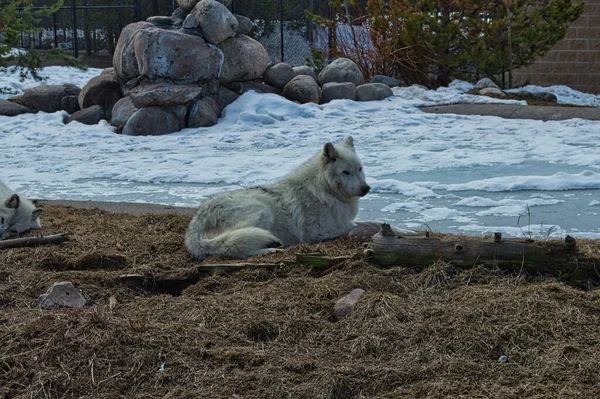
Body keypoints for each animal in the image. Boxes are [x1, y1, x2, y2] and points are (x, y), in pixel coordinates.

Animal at [183, 137, 370, 262]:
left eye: (360, 169)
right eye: (346, 172)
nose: (366, 188)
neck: (324, 190)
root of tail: (193, 230)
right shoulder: (315, 233)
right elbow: (351, 225)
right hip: (262, 212)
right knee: (234, 249)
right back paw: (269, 250)